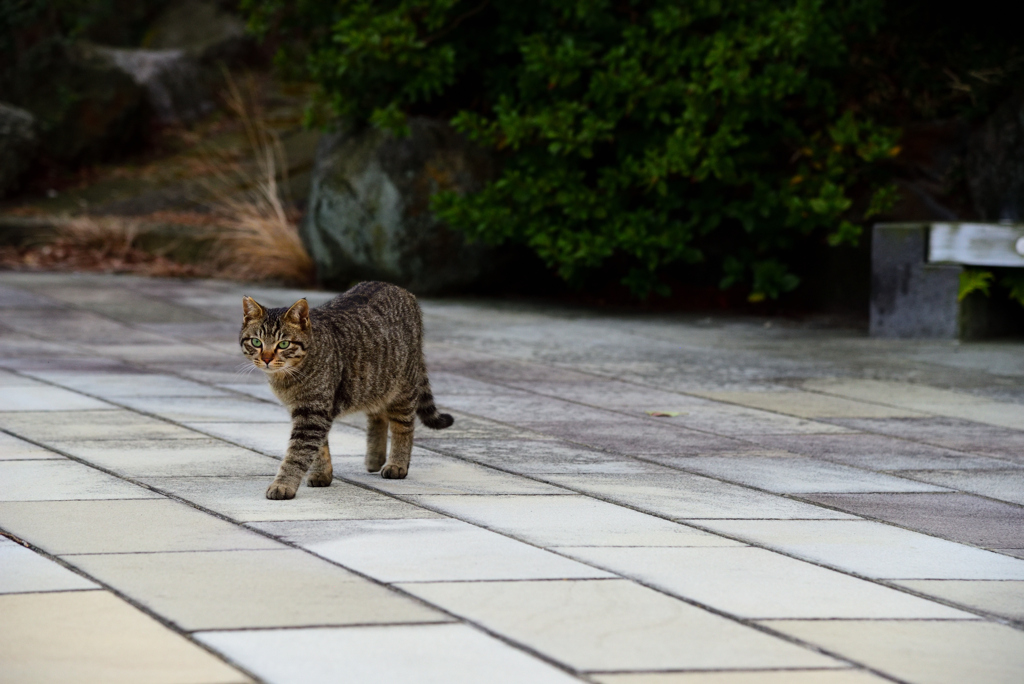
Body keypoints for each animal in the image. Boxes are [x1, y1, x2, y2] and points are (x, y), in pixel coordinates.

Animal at [239, 280, 452, 499]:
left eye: (283, 344)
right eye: (256, 342)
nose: (266, 358)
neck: (287, 378)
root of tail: (400, 289)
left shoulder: (313, 412)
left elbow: (297, 453)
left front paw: (283, 485)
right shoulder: (308, 410)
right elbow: (320, 448)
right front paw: (322, 473)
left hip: (402, 388)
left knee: (404, 427)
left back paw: (397, 464)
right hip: (374, 383)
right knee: (377, 416)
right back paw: (375, 458)